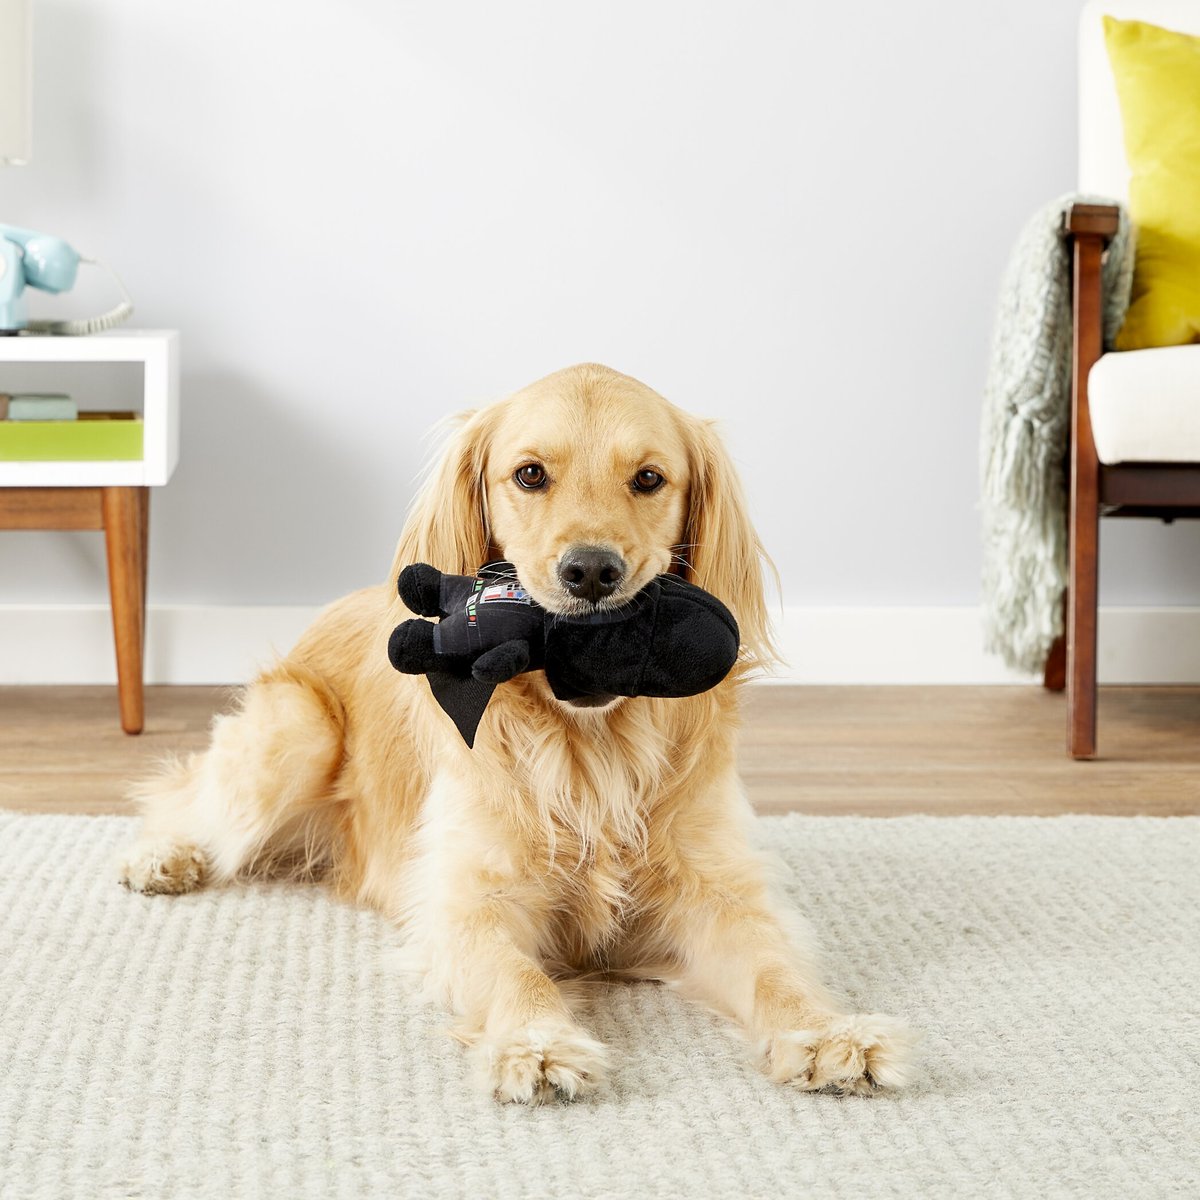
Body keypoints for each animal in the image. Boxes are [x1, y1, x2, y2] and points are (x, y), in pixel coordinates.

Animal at [119, 360, 907, 1099]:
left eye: (649, 479)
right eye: (530, 474)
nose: (591, 571)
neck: (591, 749)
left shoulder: (713, 891)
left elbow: (772, 965)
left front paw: (826, 1030)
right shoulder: (469, 900)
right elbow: (513, 973)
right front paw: (538, 1042)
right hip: (298, 724)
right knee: (185, 797)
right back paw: (162, 856)